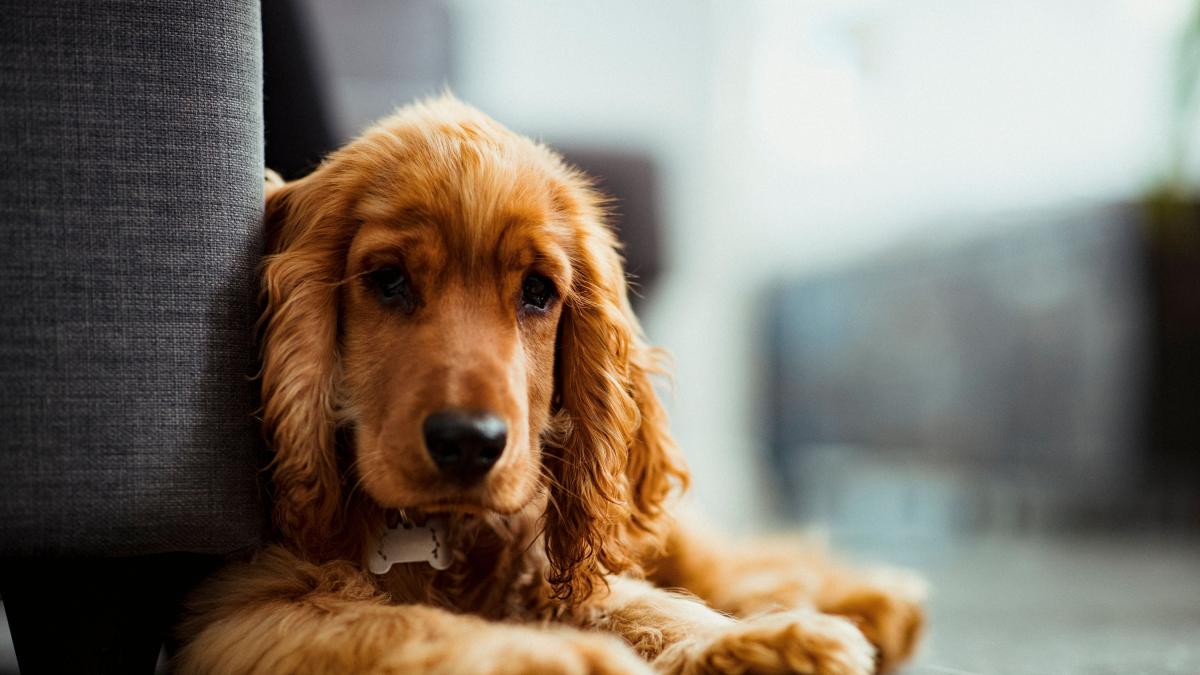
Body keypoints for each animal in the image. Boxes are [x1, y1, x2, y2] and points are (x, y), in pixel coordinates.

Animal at [175, 96, 926, 672]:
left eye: (537, 292)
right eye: (387, 280)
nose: (470, 443)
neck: (437, 534)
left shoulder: (546, 552)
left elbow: (636, 602)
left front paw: (765, 642)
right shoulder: (243, 601)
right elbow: (399, 624)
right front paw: (561, 657)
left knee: (720, 561)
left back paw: (864, 601)